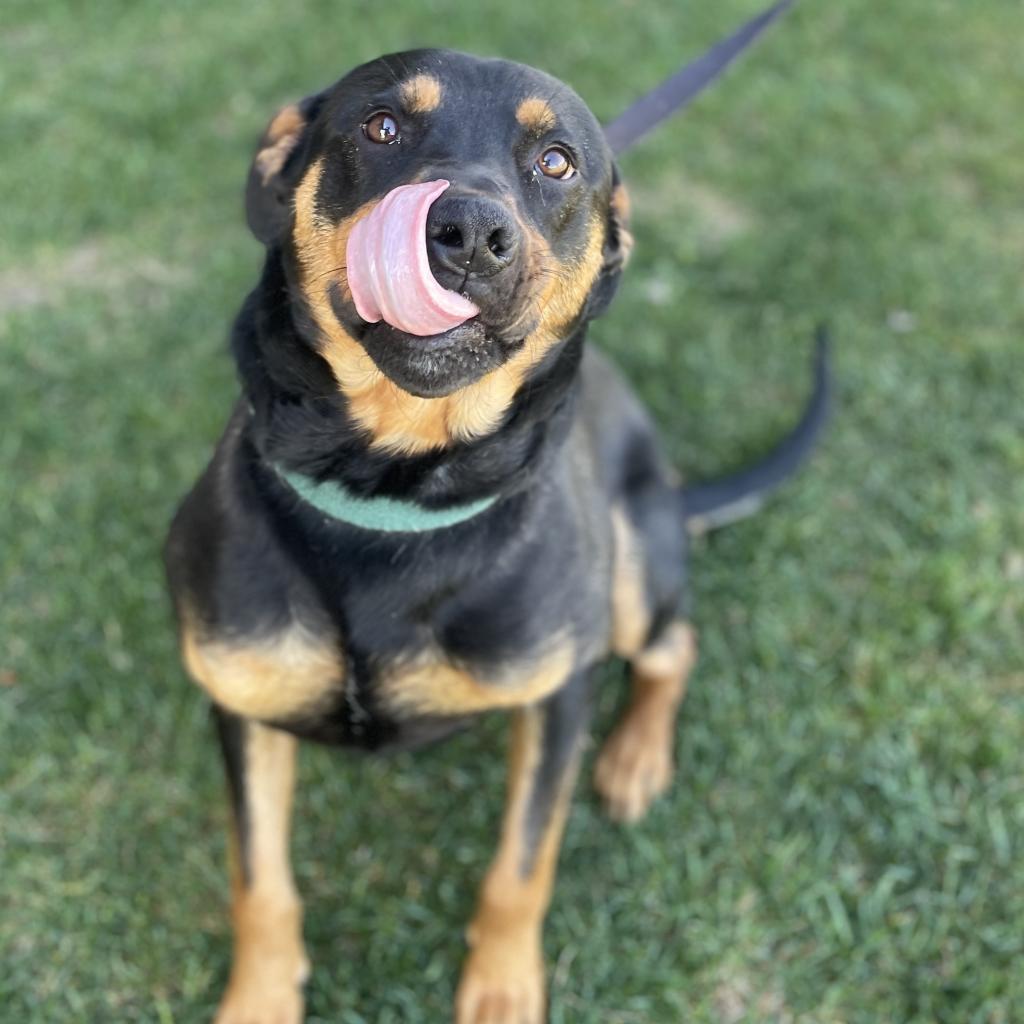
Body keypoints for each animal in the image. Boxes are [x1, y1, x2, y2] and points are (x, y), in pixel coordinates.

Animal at [163, 48, 827, 1024]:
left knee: (675, 646)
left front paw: (503, 990)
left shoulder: (556, 694)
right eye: (381, 127)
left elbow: (521, 866)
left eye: (556, 162)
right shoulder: (242, 701)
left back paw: (634, 759)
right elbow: (261, 883)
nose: (470, 230)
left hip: (633, 563)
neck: (394, 492)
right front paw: (258, 1000)